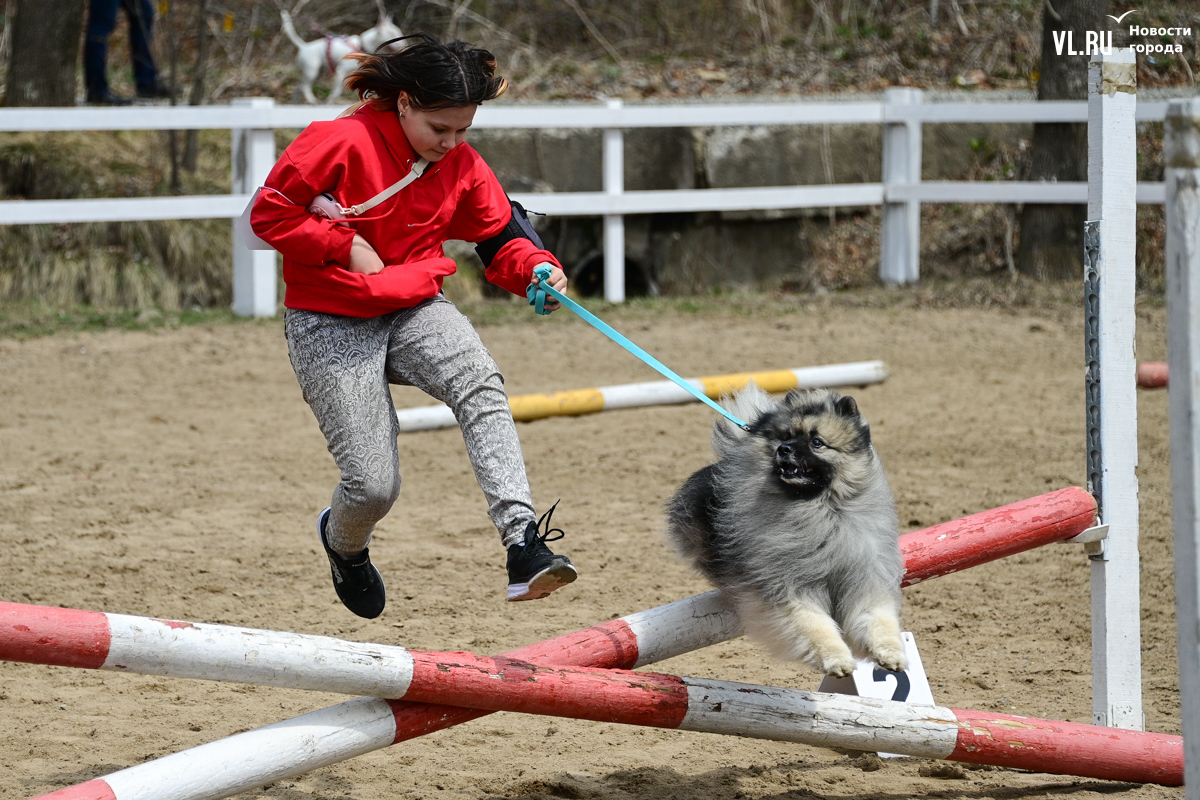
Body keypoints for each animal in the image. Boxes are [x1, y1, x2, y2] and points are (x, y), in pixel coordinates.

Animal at [662, 386, 902, 676]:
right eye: (786, 437)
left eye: (816, 442)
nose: (783, 449)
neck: (823, 511)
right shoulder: (790, 588)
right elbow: (817, 628)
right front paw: (837, 659)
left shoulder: (865, 580)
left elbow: (878, 621)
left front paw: (891, 653)